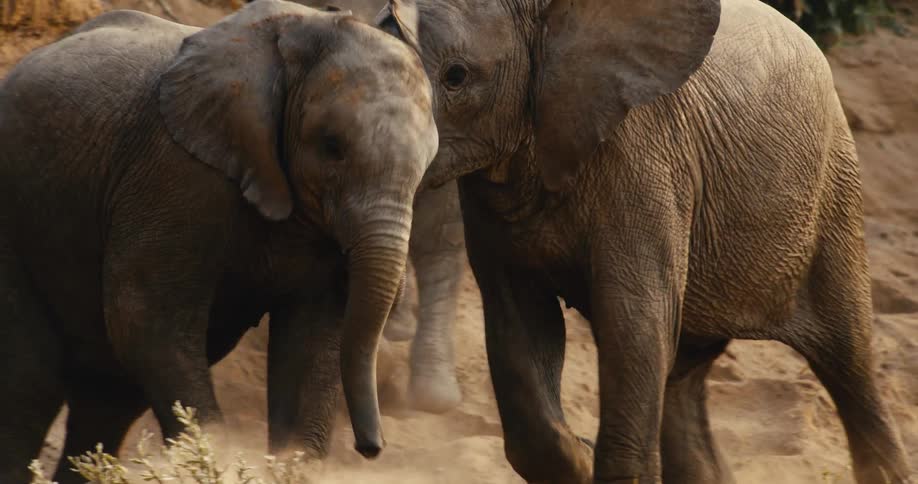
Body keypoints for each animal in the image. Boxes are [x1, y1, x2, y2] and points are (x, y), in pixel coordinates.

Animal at [0, 1, 437, 482]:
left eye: (427, 164)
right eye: (332, 146)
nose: (371, 448)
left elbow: (314, 337)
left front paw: (290, 464)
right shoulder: (174, 169)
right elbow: (144, 315)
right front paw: (220, 458)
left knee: (107, 398)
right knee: (29, 382)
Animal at [374, 0, 914, 483]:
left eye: (456, 76)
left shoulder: (645, 158)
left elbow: (632, 319)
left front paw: (595, 458)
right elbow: (520, 319)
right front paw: (581, 457)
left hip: (833, 191)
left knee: (849, 359)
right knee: (680, 374)